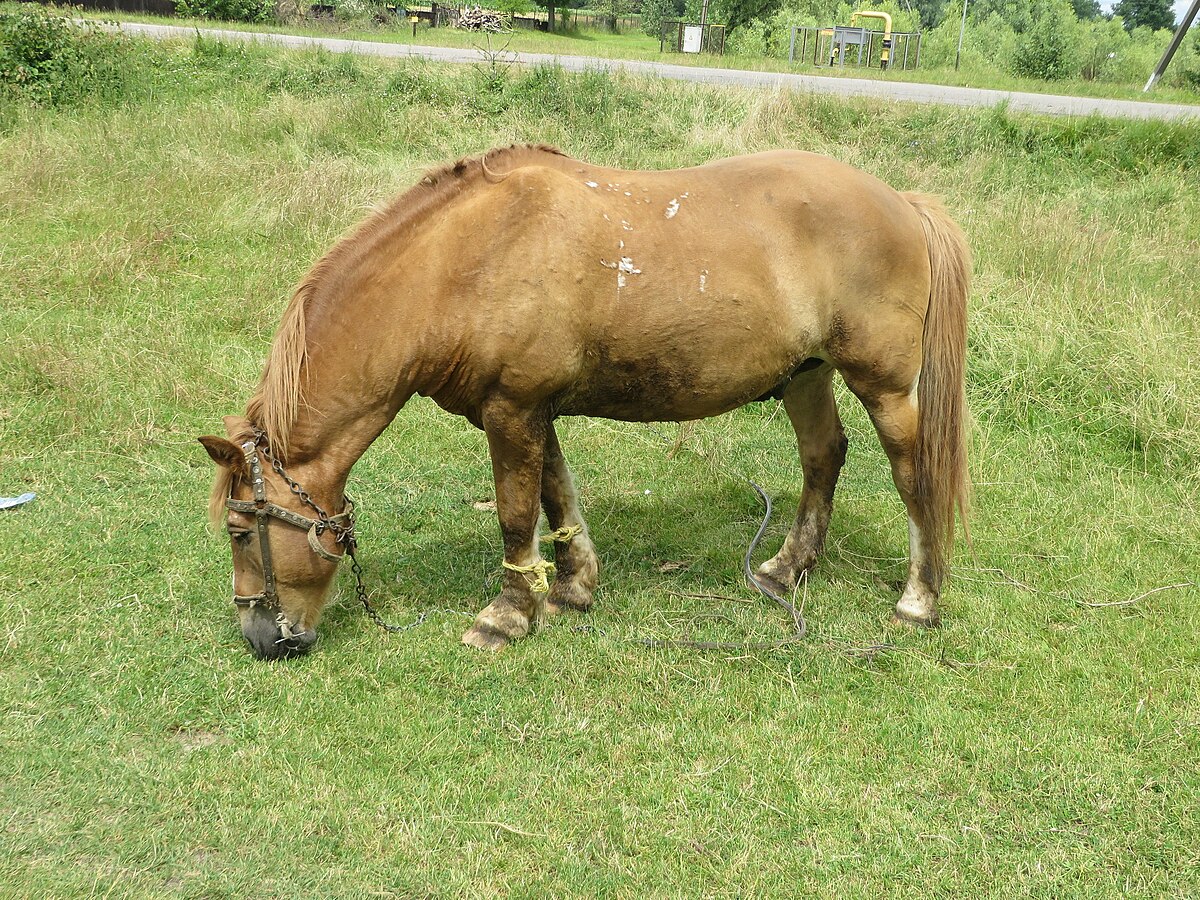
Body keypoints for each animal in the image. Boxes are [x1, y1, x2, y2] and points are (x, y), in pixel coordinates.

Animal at [199, 144, 964, 657]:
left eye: (239, 532)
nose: (261, 636)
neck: (467, 263)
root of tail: (903, 202)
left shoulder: (511, 412)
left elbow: (515, 514)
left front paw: (506, 615)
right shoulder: (529, 411)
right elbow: (556, 495)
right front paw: (572, 588)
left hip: (883, 388)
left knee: (912, 474)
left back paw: (919, 600)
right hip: (806, 375)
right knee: (823, 456)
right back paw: (785, 567)